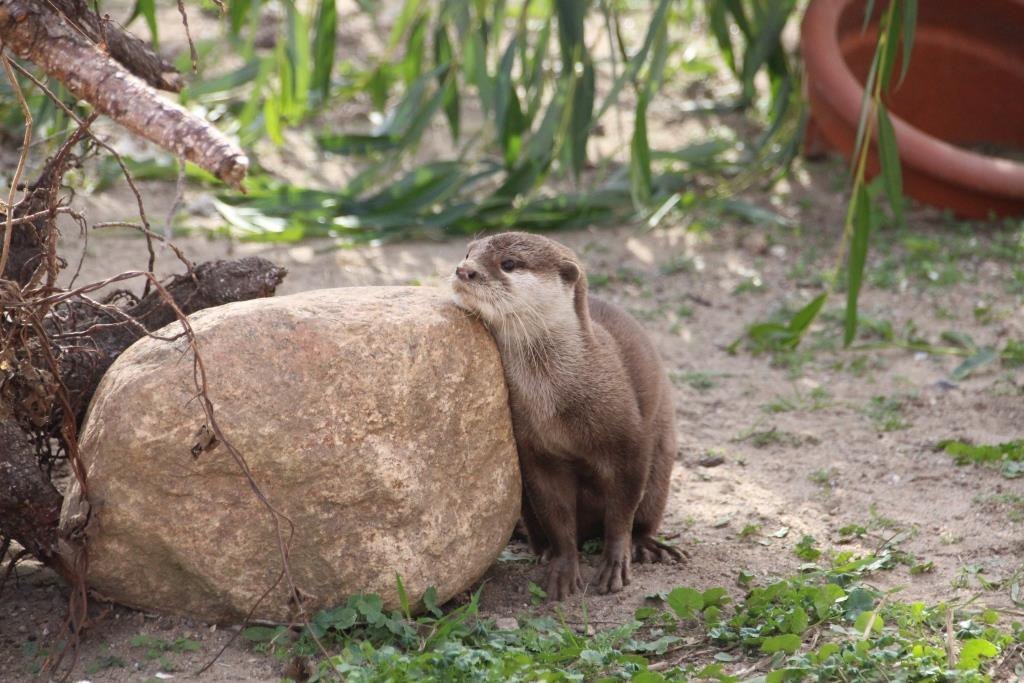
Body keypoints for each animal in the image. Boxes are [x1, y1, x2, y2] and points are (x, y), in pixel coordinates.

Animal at [450, 232, 682, 600]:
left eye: (509, 263)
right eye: (469, 252)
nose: (463, 270)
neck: (556, 402)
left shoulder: (629, 439)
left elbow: (622, 510)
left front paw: (615, 563)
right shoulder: (536, 450)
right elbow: (556, 514)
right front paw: (562, 567)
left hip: (662, 462)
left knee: (646, 510)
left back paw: (649, 546)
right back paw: (542, 549)